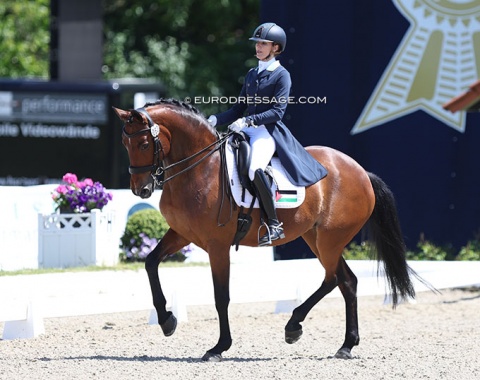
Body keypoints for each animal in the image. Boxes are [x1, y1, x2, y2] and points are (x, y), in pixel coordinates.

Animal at [116, 98, 424, 362]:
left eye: (144, 143)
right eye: (124, 143)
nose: (140, 190)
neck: (200, 168)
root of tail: (361, 172)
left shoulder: (217, 246)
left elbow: (221, 296)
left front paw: (219, 347)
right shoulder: (181, 234)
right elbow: (151, 262)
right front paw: (167, 321)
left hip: (330, 240)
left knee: (335, 278)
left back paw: (300, 328)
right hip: (315, 237)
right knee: (345, 281)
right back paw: (339, 342)